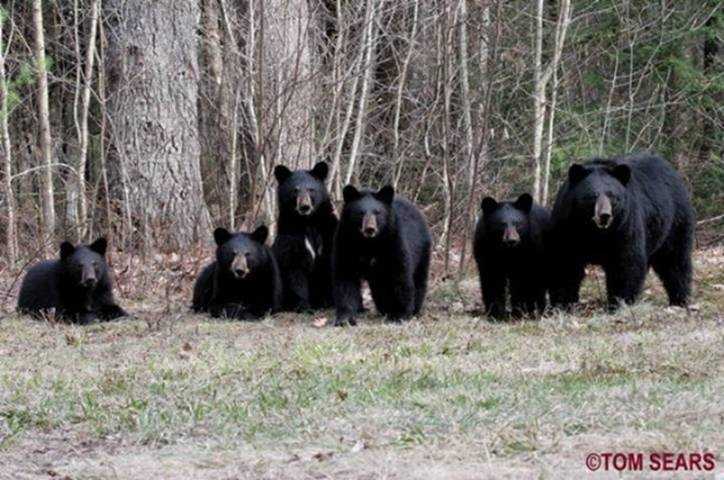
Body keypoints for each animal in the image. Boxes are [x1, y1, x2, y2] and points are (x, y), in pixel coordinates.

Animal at [272, 161, 340, 312]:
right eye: (295, 190)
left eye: (310, 189)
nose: (304, 207)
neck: (308, 221)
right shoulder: (290, 236)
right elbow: (294, 270)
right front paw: (303, 306)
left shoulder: (328, 232)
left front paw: (329, 302)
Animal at [332, 184, 430, 326]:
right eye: (360, 212)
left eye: (377, 212)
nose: (370, 229)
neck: (369, 244)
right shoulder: (345, 244)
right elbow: (345, 279)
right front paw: (345, 318)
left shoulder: (393, 242)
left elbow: (399, 276)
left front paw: (400, 314)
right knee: (380, 287)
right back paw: (384, 308)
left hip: (422, 250)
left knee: (418, 279)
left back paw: (414, 308)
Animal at [548, 154, 696, 312]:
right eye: (593, 195)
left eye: (611, 195)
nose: (604, 215)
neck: (595, 232)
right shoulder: (568, 228)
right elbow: (565, 263)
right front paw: (562, 304)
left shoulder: (624, 226)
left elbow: (625, 263)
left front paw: (619, 303)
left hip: (674, 222)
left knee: (675, 262)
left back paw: (679, 300)